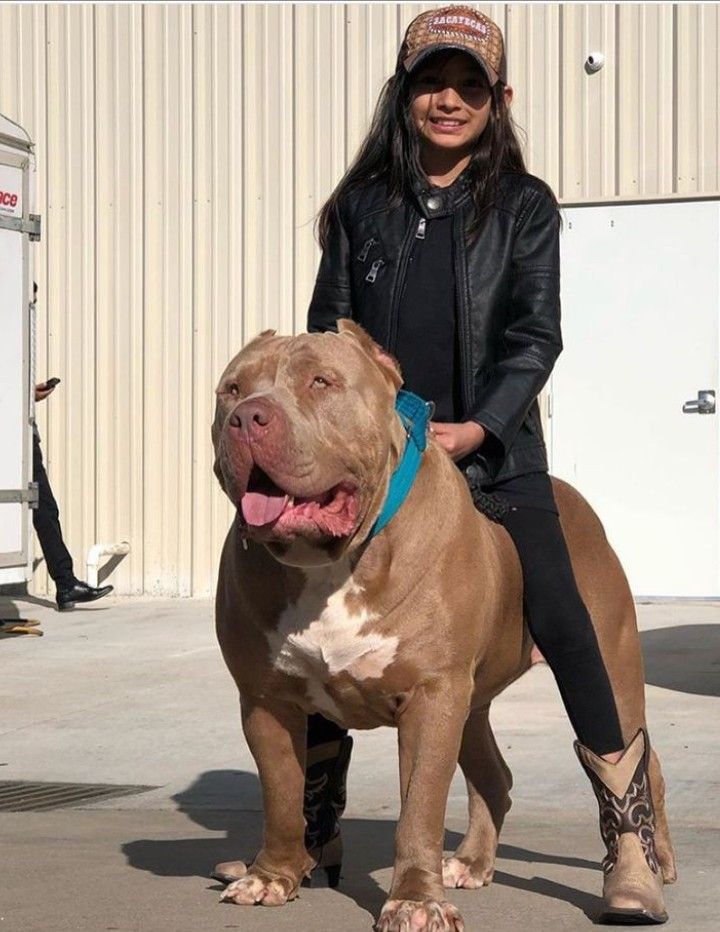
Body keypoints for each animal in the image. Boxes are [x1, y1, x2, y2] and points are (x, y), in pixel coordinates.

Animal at [210, 322, 676, 932]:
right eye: (232, 390)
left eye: (321, 382)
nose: (248, 418)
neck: (331, 564)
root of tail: (571, 497)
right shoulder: (267, 698)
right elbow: (283, 791)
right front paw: (273, 875)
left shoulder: (432, 696)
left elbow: (420, 806)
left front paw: (414, 900)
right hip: (470, 702)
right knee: (493, 778)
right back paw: (473, 863)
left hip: (607, 665)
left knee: (636, 756)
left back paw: (648, 873)